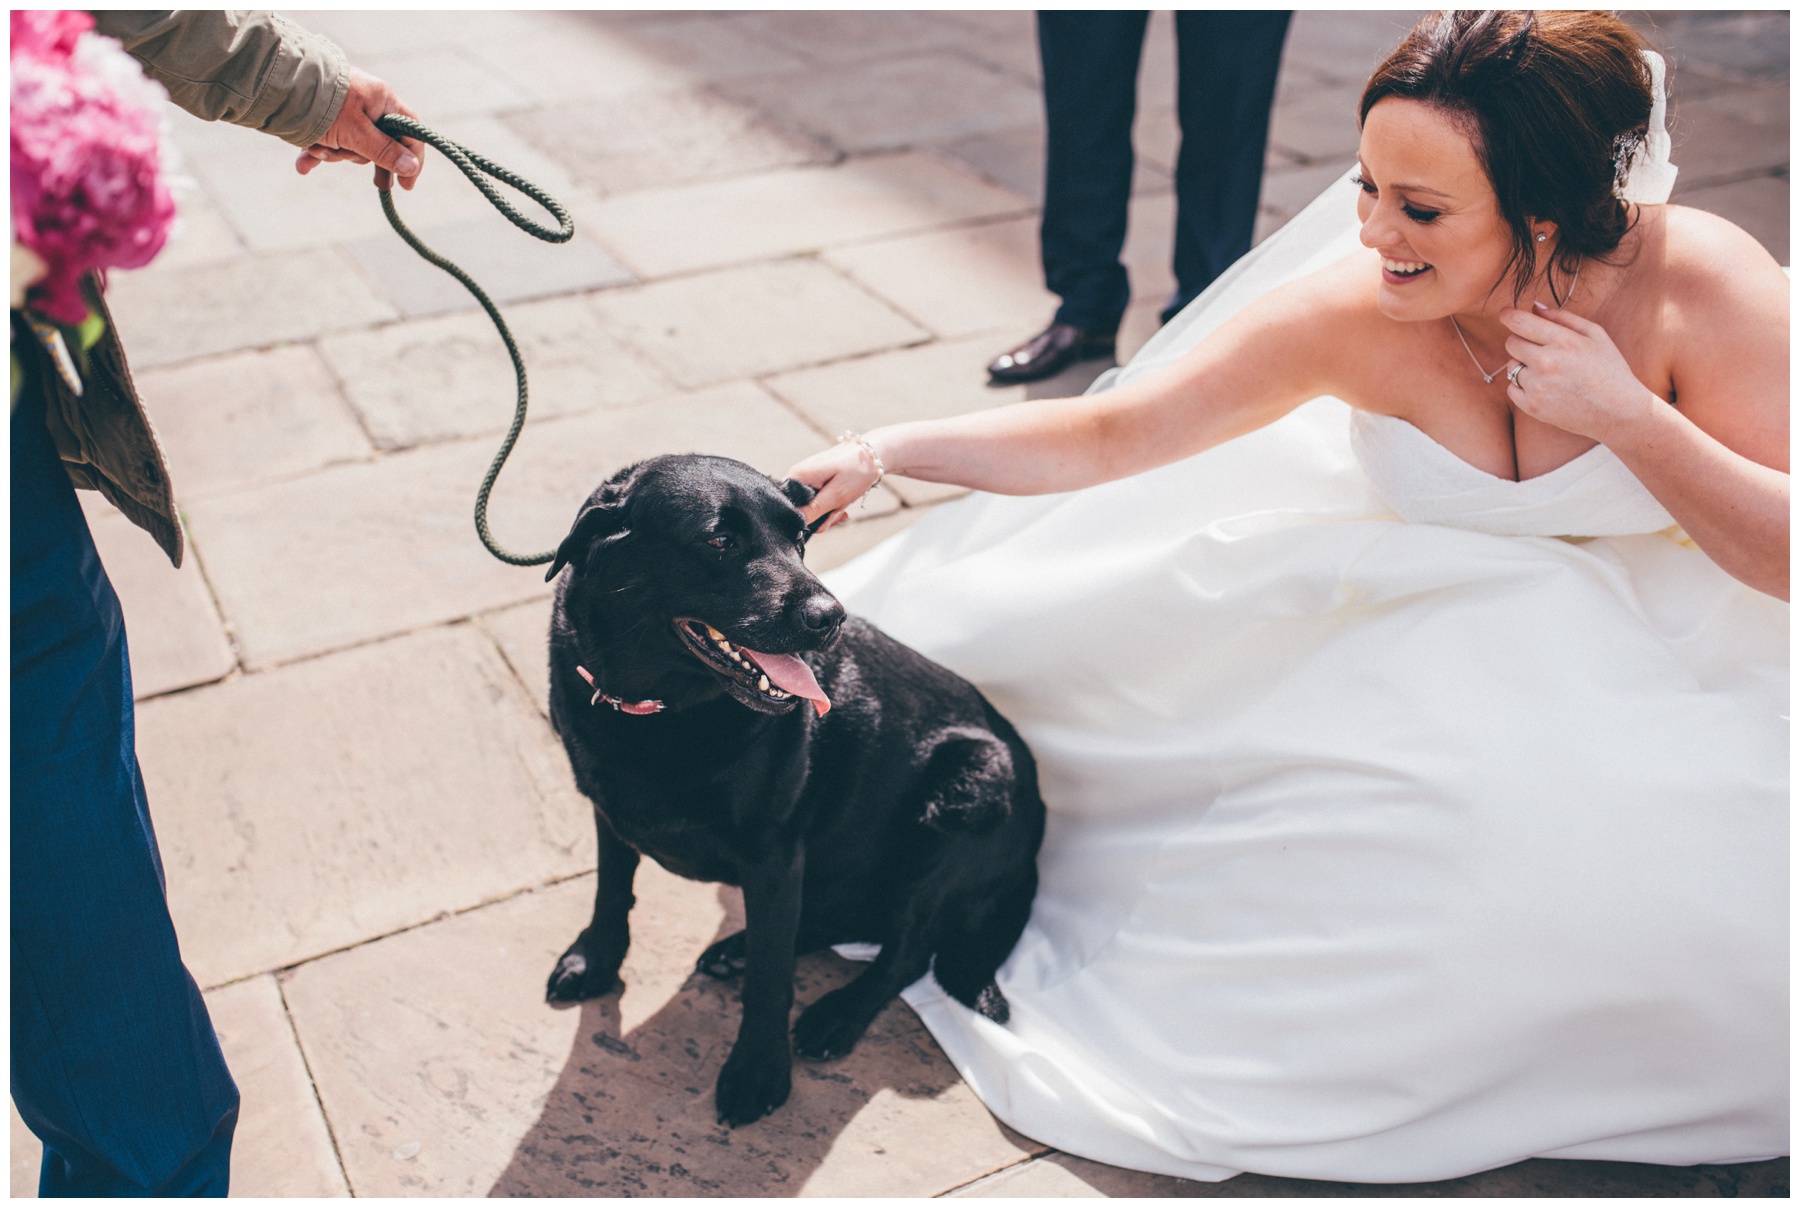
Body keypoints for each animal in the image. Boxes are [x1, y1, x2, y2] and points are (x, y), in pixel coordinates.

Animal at [536, 459, 1044, 1130]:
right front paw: (593, 961)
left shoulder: (773, 852)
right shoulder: (608, 807)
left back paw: (836, 1016)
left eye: (800, 539)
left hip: (965, 799)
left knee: (907, 950)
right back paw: (738, 951)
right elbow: (611, 892)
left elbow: (773, 976)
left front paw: (758, 1072)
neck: (660, 707)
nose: (832, 618)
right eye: (719, 540)